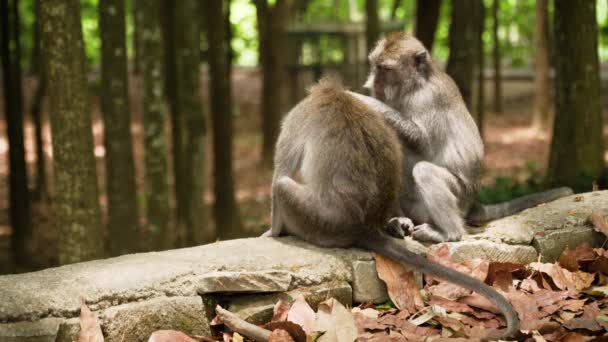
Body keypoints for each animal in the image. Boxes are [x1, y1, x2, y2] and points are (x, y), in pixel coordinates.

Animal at [268, 76, 520, 340]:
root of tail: (362, 227)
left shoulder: (296, 116)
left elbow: (280, 174)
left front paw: (271, 233)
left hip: (315, 221)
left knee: (283, 185)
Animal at [350, 31, 572, 240]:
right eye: (375, 66)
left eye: (386, 69)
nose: (373, 82)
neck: (413, 86)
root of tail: (473, 203)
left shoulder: (429, 97)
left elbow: (422, 142)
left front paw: (360, 100)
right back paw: (399, 219)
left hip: (458, 197)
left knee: (423, 170)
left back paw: (448, 232)